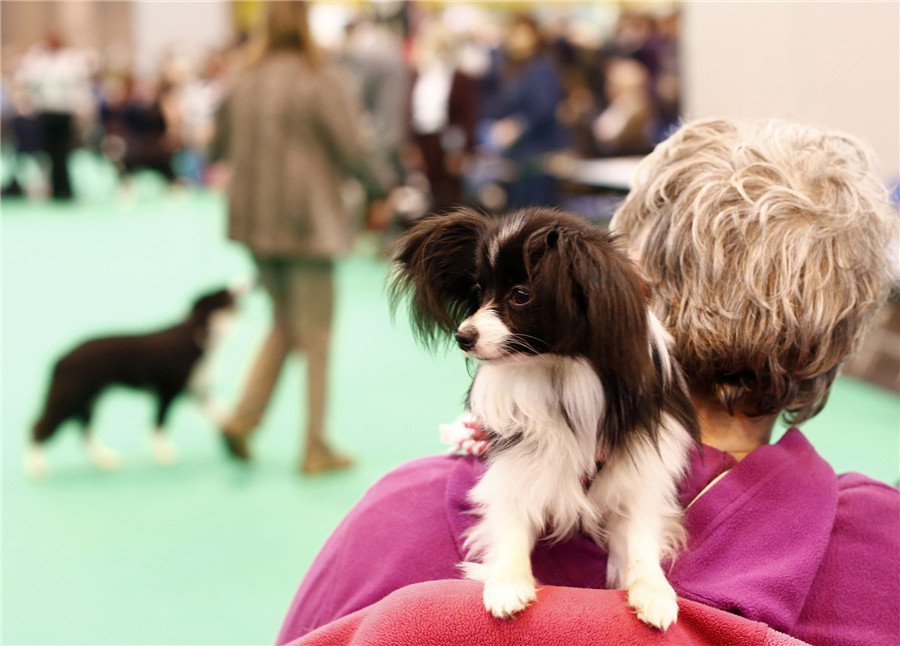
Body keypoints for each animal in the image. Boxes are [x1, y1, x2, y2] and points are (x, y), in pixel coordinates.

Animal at [26, 288, 239, 476]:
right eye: (224, 295)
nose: (242, 284)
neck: (197, 333)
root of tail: (59, 359)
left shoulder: (197, 391)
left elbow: (219, 412)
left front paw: (232, 428)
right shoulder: (166, 390)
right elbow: (159, 422)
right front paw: (163, 453)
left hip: (87, 401)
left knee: (84, 430)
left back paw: (103, 459)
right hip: (67, 399)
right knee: (38, 428)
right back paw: (36, 467)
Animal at [390, 209, 700, 632]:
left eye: (521, 296)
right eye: (477, 290)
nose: (462, 336)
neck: (559, 373)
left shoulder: (638, 477)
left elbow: (640, 542)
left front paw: (654, 592)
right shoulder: (519, 465)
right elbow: (510, 526)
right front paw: (507, 583)